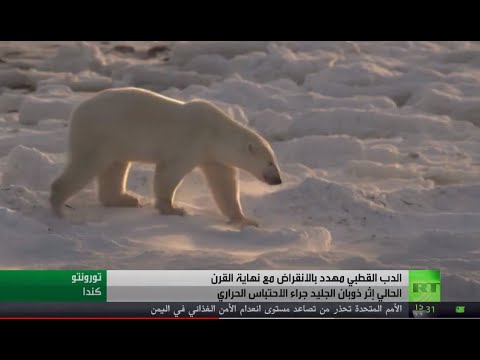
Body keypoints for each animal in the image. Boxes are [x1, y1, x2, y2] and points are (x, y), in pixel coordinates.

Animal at [49, 87, 282, 226]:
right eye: (270, 162)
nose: (278, 180)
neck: (215, 132)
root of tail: (77, 111)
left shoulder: (213, 156)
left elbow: (224, 184)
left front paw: (244, 219)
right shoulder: (190, 143)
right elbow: (169, 172)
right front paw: (173, 209)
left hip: (116, 141)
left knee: (115, 167)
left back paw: (127, 199)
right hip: (100, 134)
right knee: (85, 165)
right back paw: (59, 209)